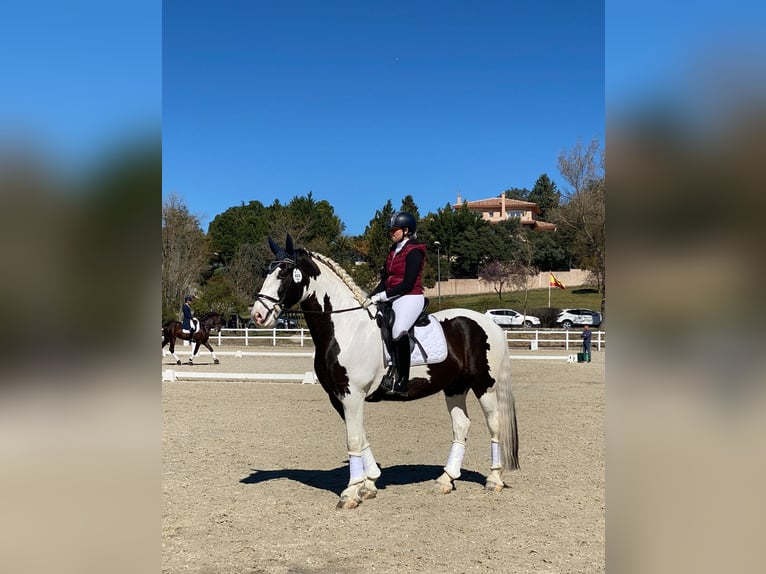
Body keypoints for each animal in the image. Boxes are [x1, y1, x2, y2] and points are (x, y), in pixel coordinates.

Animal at [254, 236, 520, 510]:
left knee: (494, 425)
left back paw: (494, 479)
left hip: (484, 385)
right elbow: (361, 436)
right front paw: (369, 483)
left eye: (284, 273)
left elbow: (353, 439)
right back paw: (446, 480)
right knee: (461, 425)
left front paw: (351, 492)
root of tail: (490, 324)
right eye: (267, 272)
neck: (345, 328)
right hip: (454, 386)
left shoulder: (352, 394)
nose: (258, 315)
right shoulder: (338, 396)